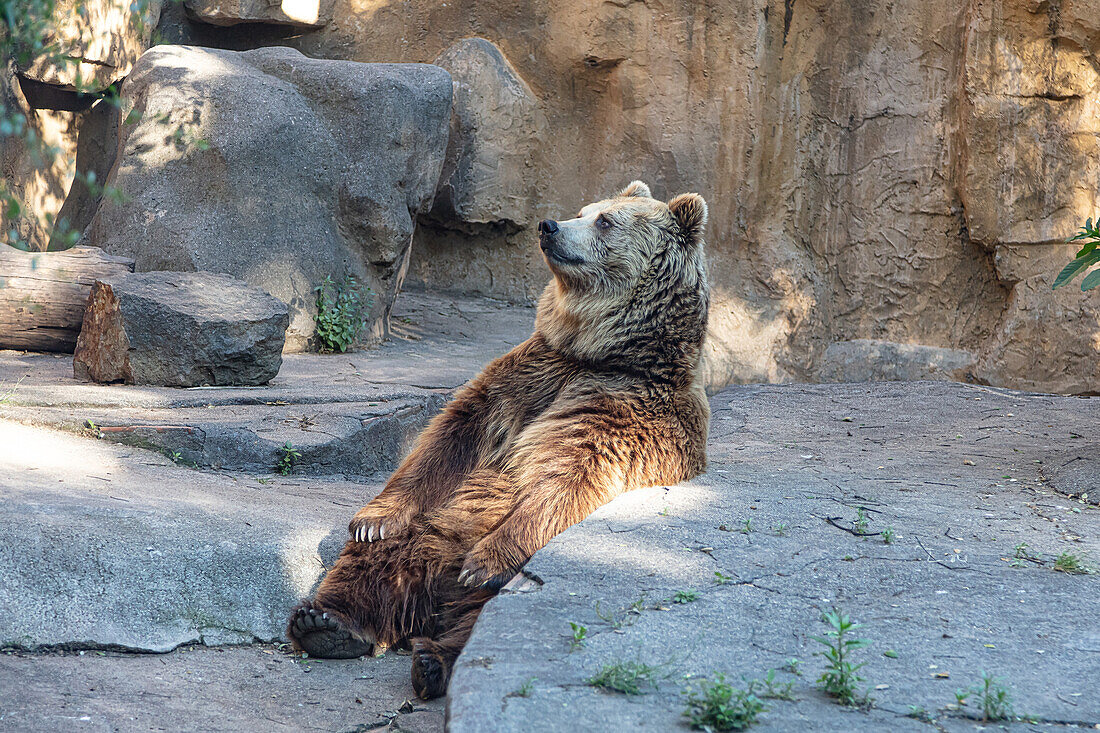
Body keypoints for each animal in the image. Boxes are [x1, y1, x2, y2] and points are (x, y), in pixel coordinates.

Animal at [288, 181, 708, 695]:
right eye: (585, 209)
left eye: (606, 221)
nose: (550, 226)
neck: (600, 352)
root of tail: (434, 599)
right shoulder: (529, 376)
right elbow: (451, 437)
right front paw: (374, 519)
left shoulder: (617, 410)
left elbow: (563, 482)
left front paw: (483, 561)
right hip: (428, 527)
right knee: (375, 563)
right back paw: (327, 622)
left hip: (491, 579)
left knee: (482, 617)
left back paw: (433, 658)